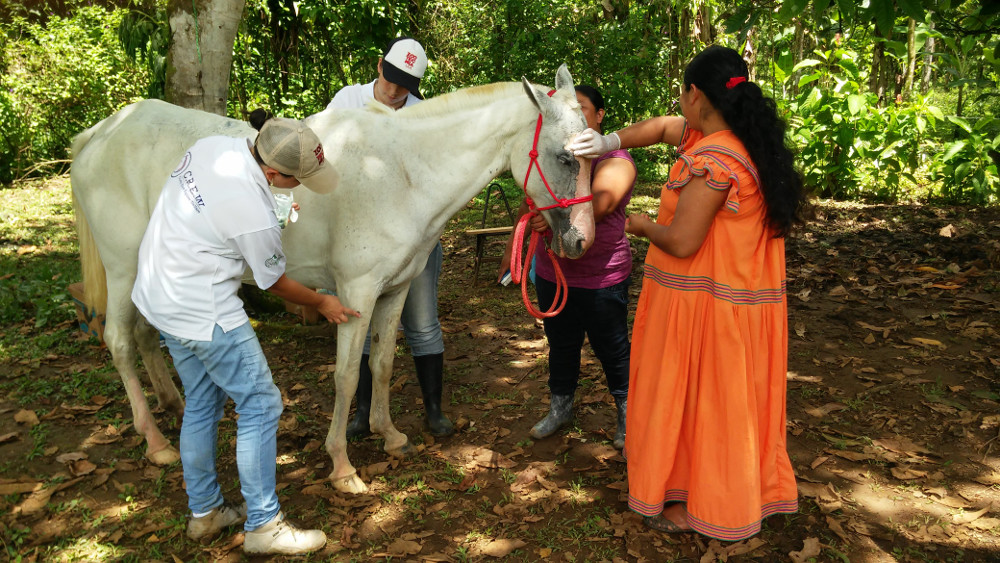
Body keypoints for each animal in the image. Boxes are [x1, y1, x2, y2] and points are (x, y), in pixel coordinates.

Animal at [72, 64, 592, 492]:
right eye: (566, 159)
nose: (581, 241)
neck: (402, 174)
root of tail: (99, 134)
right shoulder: (355, 293)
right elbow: (346, 375)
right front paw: (342, 465)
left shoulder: (395, 290)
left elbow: (381, 364)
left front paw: (390, 436)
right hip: (124, 268)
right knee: (119, 340)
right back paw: (157, 442)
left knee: (146, 335)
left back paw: (173, 405)